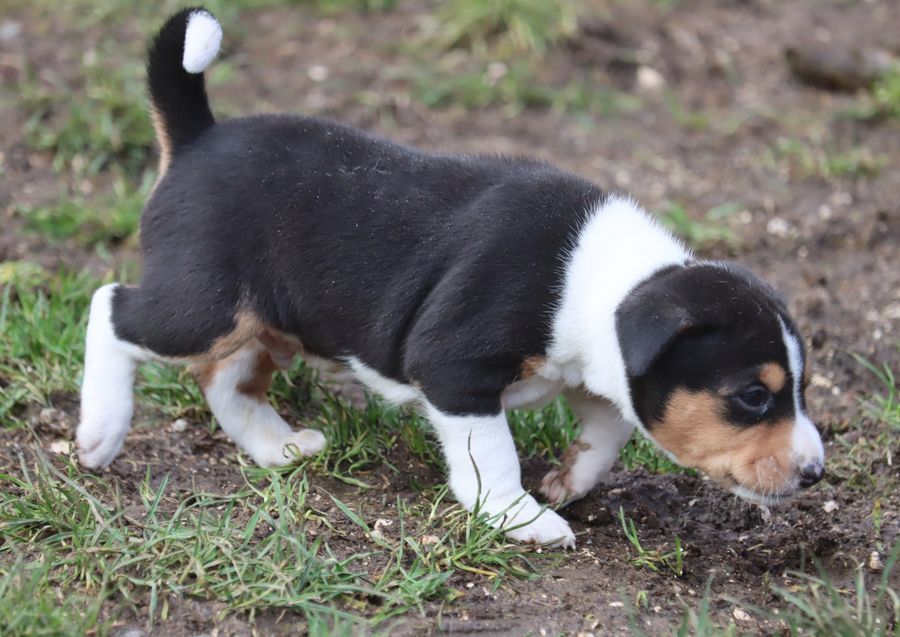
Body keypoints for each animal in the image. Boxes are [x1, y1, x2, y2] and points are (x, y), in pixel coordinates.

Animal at [77, 8, 824, 548]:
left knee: (226, 382)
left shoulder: (599, 376)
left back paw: (278, 446)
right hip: (203, 305)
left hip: (259, 322)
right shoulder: (455, 370)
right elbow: (492, 456)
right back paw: (100, 432)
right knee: (110, 308)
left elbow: (608, 430)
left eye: (801, 389)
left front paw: (568, 480)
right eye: (752, 397)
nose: (816, 473)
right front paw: (520, 517)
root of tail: (198, 136)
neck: (596, 280)